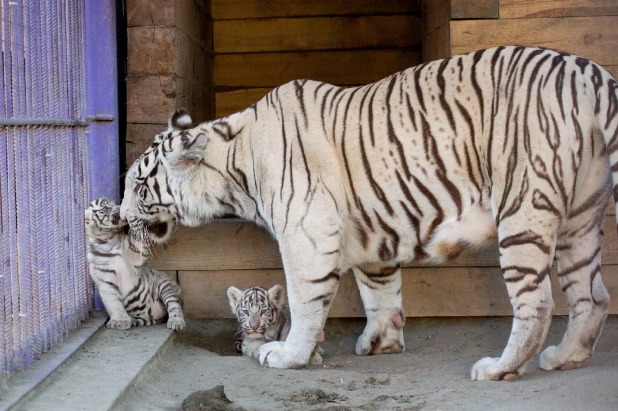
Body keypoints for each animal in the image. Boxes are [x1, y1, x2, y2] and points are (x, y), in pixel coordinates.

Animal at [120, 46, 616, 382]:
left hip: (524, 208)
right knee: (593, 295)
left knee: (539, 301)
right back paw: (566, 357)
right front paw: (381, 344)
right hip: (580, 218)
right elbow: (379, 292)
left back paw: (499, 368)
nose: (122, 219)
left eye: (139, 187)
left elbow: (304, 299)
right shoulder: (371, 231)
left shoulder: (306, 231)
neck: (234, 162)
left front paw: (287, 355)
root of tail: (590, 71)